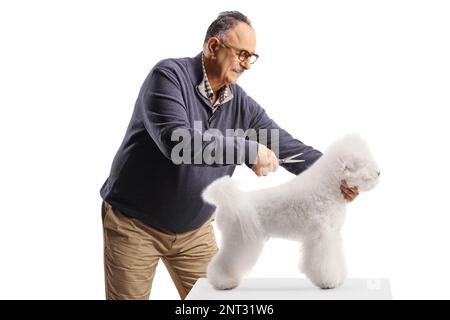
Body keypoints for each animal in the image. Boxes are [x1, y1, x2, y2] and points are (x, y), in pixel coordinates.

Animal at [202, 134, 382, 292]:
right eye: (362, 162)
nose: (378, 172)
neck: (327, 187)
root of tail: (233, 202)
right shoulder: (322, 236)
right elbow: (323, 262)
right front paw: (328, 281)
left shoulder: (333, 234)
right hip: (239, 240)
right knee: (224, 262)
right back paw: (224, 282)